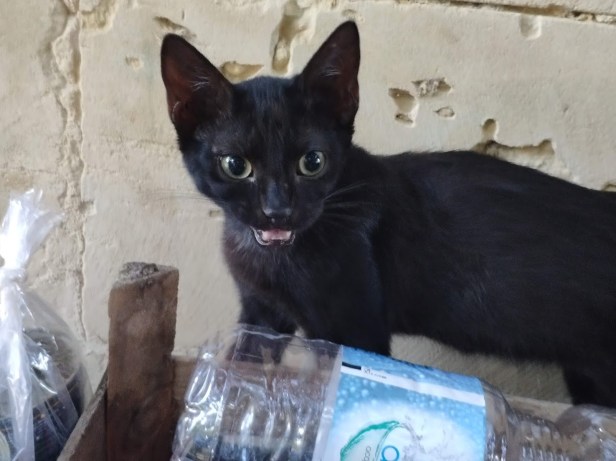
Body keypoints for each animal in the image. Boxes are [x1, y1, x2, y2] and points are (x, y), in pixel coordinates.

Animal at [160, 22, 616, 406]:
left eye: (312, 162)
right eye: (236, 165)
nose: (278, 211)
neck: (273, 258)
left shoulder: (356, 329)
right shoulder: (260, 312)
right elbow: (245, 359)